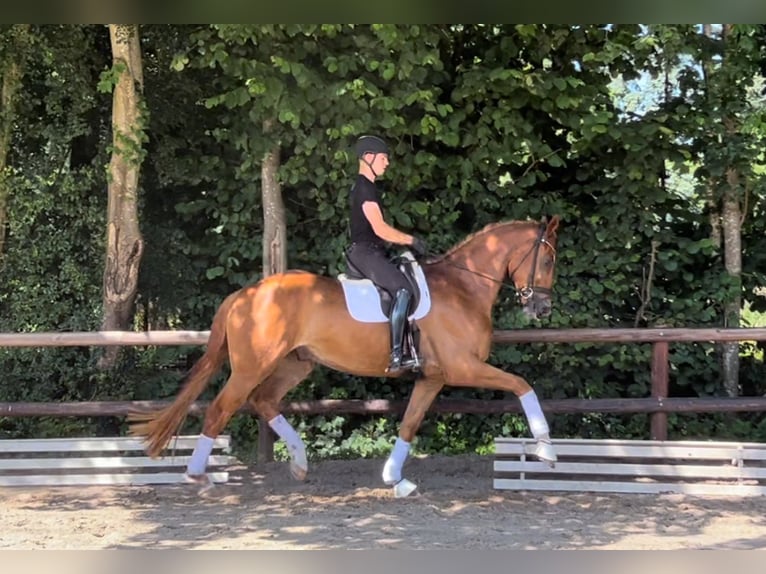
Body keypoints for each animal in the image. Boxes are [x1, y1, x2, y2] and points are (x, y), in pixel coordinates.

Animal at [130, 216, 564, 500]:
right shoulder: (463, 368)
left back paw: (300, 463)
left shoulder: (433, 377)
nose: (542, 308)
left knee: (263, 401)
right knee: (222, 408)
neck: (462, 286)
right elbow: (523, 385)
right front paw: (545, 450)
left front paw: (395, 479)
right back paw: (197, 476)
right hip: (254, 365)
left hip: (295, 363)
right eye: (547, 260)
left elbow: (409, 423)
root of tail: (245, 293)